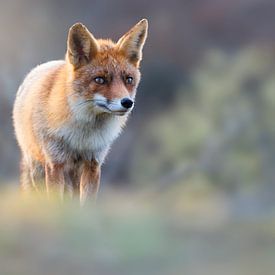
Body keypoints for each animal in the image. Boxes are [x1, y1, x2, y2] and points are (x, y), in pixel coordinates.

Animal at [12, 19, 149, 205]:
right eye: (100, 79)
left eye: (128, 79)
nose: (127, 102)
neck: (81, 137)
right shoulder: (55, 163)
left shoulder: (93, 163)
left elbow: (87, 203)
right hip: (37, 169)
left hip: (74, 175)